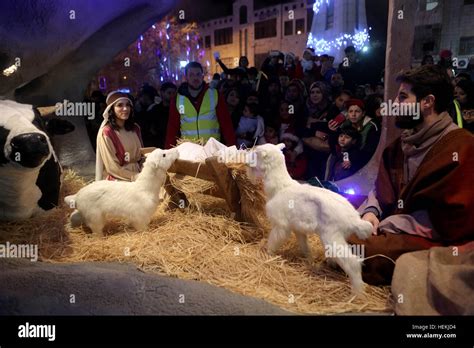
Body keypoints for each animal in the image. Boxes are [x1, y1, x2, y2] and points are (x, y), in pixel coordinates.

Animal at [246, 143, 372, 292]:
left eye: (256, 153)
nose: (246, 158)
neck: (281, 187)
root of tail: (355, 220)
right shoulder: (298, 229)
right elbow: (304, 246)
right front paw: (309, 259)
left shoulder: (281, 225)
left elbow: (273, 241)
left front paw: (268, 254)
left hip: (332, 236)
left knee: (353, 263)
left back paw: (357, 292)